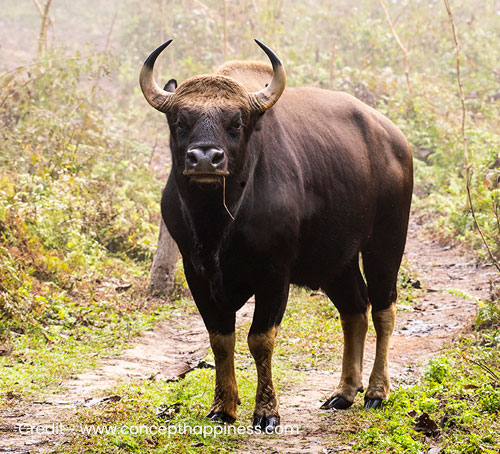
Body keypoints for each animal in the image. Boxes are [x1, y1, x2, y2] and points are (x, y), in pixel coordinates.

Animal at [139, 39, 412, 432]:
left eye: (236, 122)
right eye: (180, 121)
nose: (205, 159)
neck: (218, 222)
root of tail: (395, 140)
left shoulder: (274, 272)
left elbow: (260, 339)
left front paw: (267, 412)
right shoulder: (196, 272)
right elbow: (219, 339)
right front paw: (223, 407)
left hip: (387, 241)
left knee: (383, 308)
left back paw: (376, 391)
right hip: (335, 261)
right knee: (354, 310)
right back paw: (344, 392)